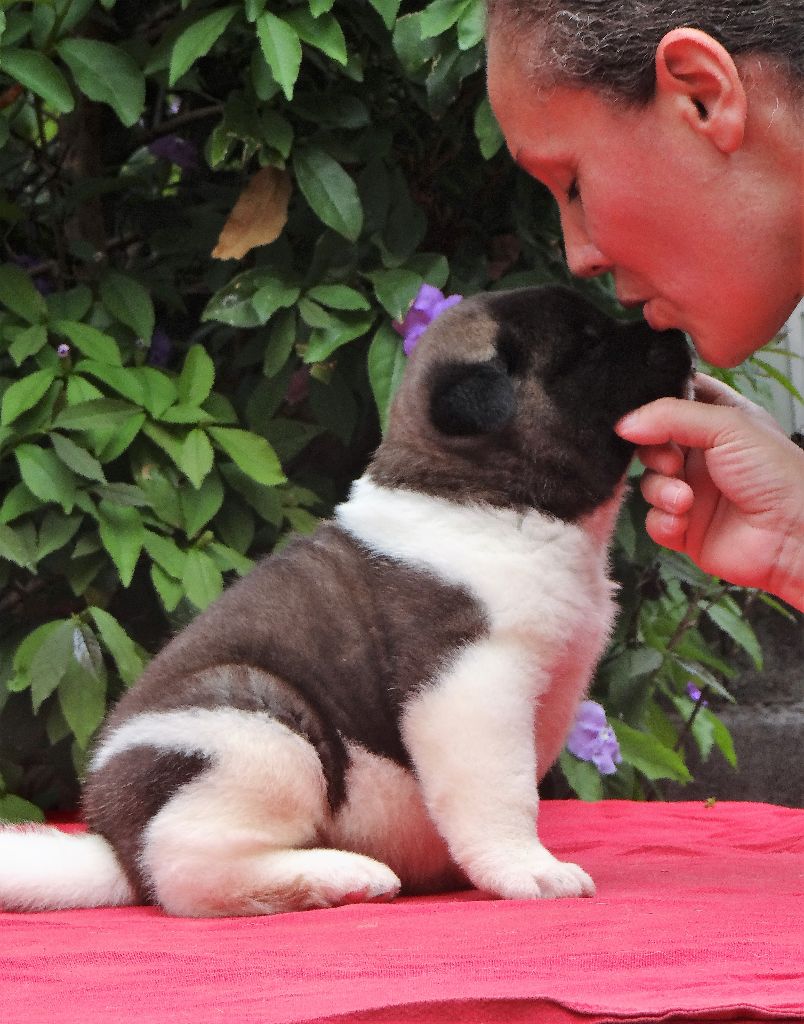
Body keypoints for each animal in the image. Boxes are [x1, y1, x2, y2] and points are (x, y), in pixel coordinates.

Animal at [0, 284, 688, 917]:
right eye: (589, 344)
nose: (679, 333)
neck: (485, 494)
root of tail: (114, 846)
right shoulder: (469, 681)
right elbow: (502, 791)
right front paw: (529, 871)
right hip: (253, 728)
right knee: (189, 867)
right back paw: (338, 876)